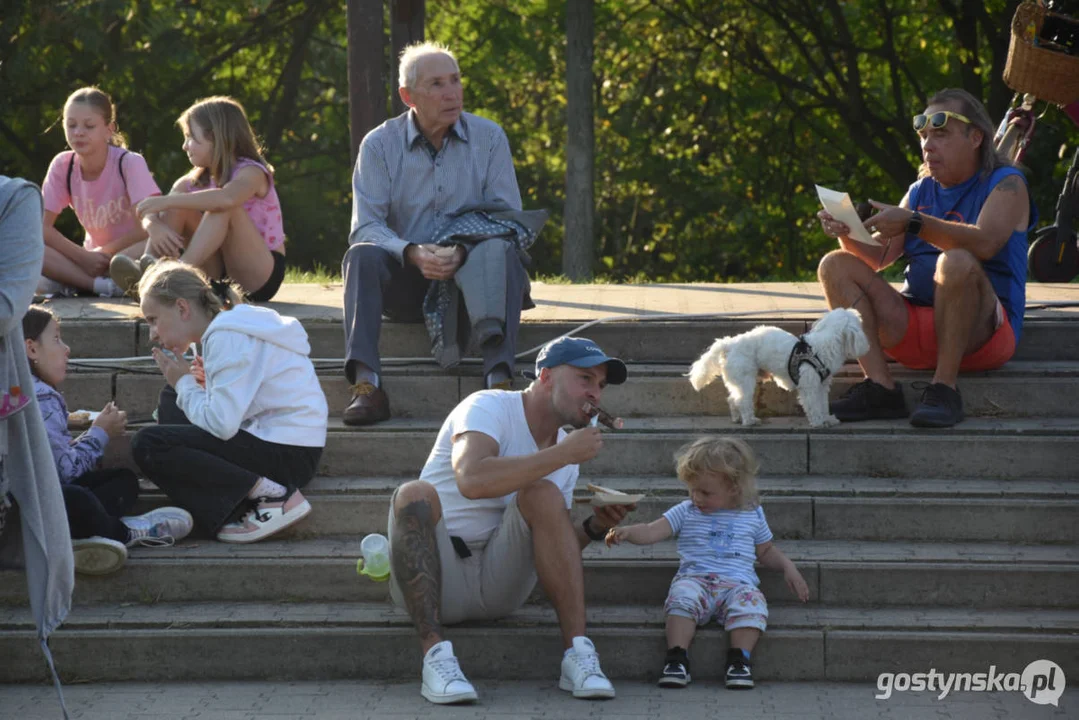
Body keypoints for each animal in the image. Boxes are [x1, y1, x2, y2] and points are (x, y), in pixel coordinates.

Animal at [686, 308, 871, 427]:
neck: (821, 347)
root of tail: (728, 344)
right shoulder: (809, 385)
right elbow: (813, 404)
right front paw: (819, 422)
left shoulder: (821, 385)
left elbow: (823, 403)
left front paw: (828, 419)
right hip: (745, 376)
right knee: (742, 400)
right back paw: (749, 421)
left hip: (737, 378)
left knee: (733, 399)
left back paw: (737, 418)